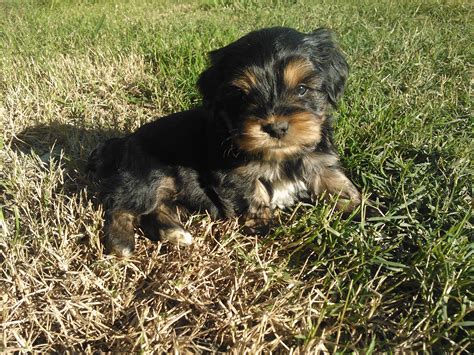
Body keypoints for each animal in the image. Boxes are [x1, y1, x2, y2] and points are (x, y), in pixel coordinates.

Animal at [88, 27, 360, 256]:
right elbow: (252, 195)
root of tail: (124, 142)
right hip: (148, 173)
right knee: (121, 205)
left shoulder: (320, 160)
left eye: (302, 89)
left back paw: (175, 234)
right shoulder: (234, 175)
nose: (276, 127)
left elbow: (338, 185)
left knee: (155, 208)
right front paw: (263, 227)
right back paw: (121, 242)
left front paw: (362, 213)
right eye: (242, 96)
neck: (281, 157)